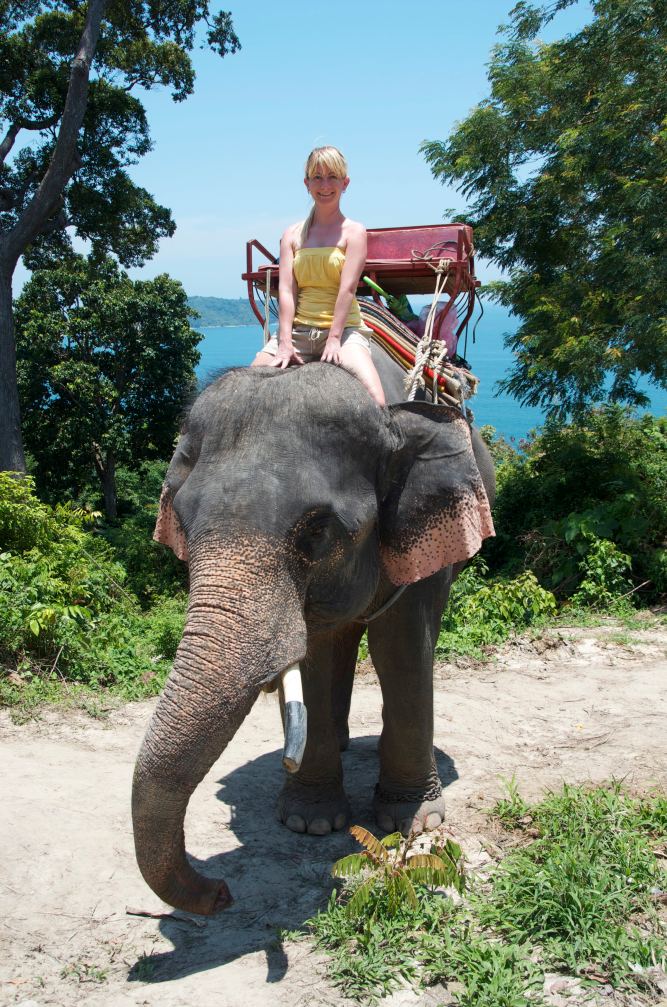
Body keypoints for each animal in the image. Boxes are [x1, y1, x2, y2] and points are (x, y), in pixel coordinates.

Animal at [132, 346, 495, 916]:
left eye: (318, 530)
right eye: (182, 523)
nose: (220, 892)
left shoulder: (423, 534)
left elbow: (402, 647)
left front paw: (415, 822)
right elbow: (317, 657)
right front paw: (312, 824)